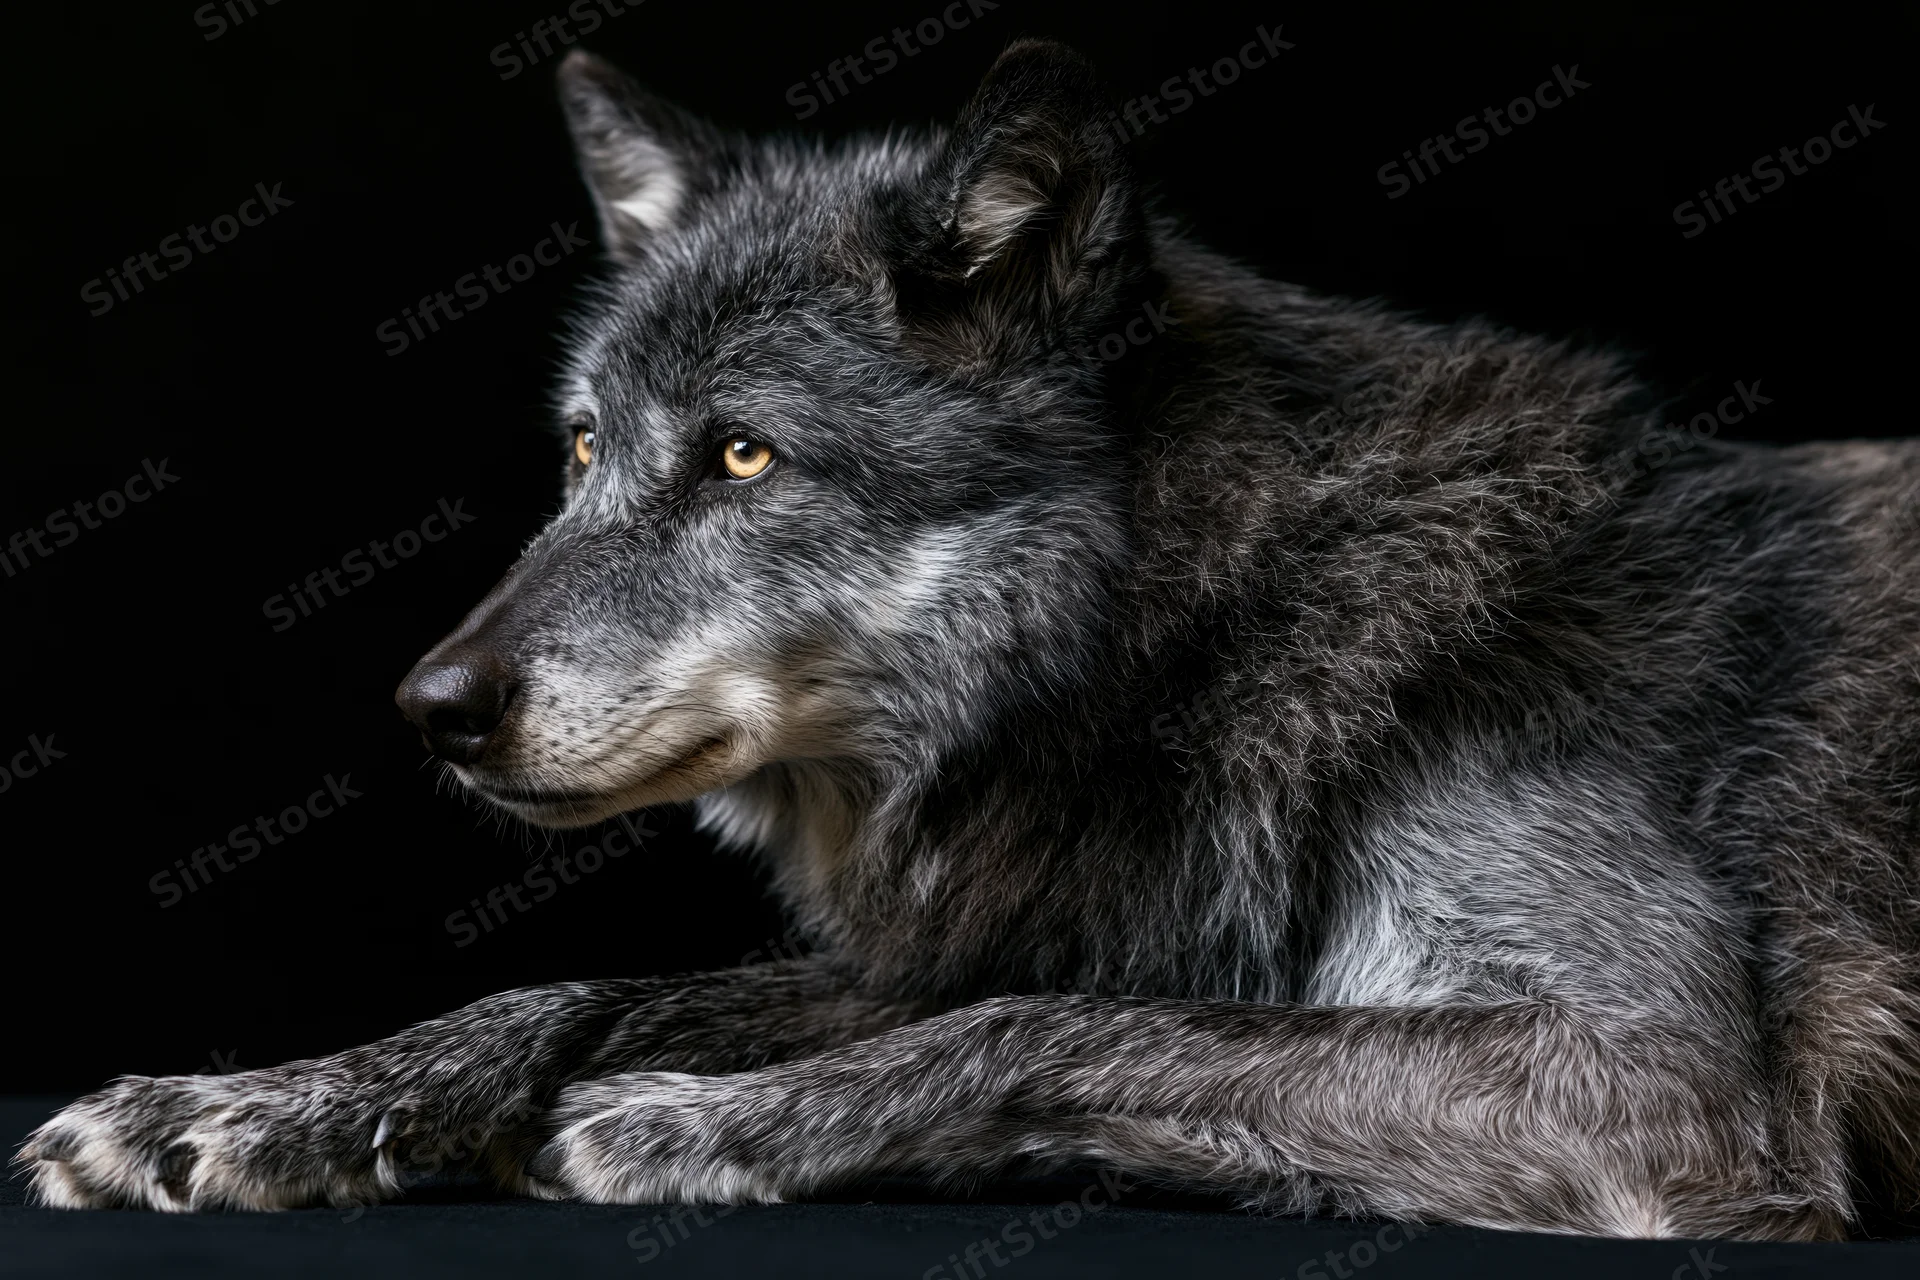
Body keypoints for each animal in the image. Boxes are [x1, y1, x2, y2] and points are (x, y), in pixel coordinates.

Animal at [21, 43, 1920, 1239]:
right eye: (579, 452)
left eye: (743, 456)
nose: (432, 706)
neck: (1212, 632)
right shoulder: (1020, 922)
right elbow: (578, 991)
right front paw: (243, 1109)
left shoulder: (1650, 1080)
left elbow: (1067, 1030)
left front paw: (708, 1127)